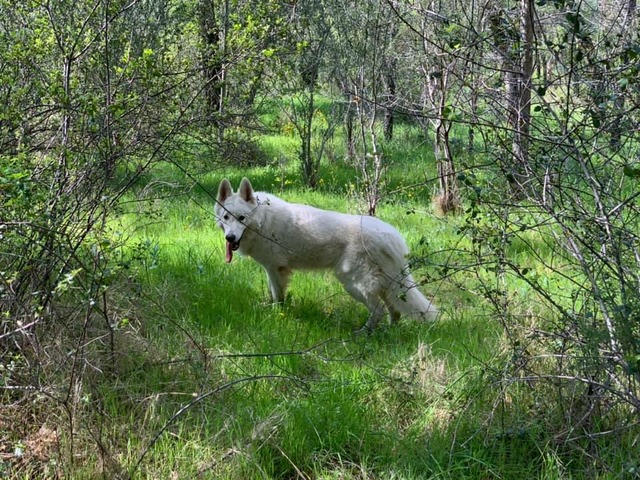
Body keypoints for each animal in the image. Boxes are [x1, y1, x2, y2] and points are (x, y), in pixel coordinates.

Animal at [215, 178, 436, 332]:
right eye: (226, 217)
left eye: (241, 218)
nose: (230, 238)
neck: (262, 221)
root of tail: (391, 236)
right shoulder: (274, 270)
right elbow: (275, 295)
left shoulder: (274, 269)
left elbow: (278, 297)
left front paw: (277, 314)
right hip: (386, 285)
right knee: (394, 311)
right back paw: (389, 331)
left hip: (353, 284)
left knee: (379, 310)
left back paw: (362, 334)